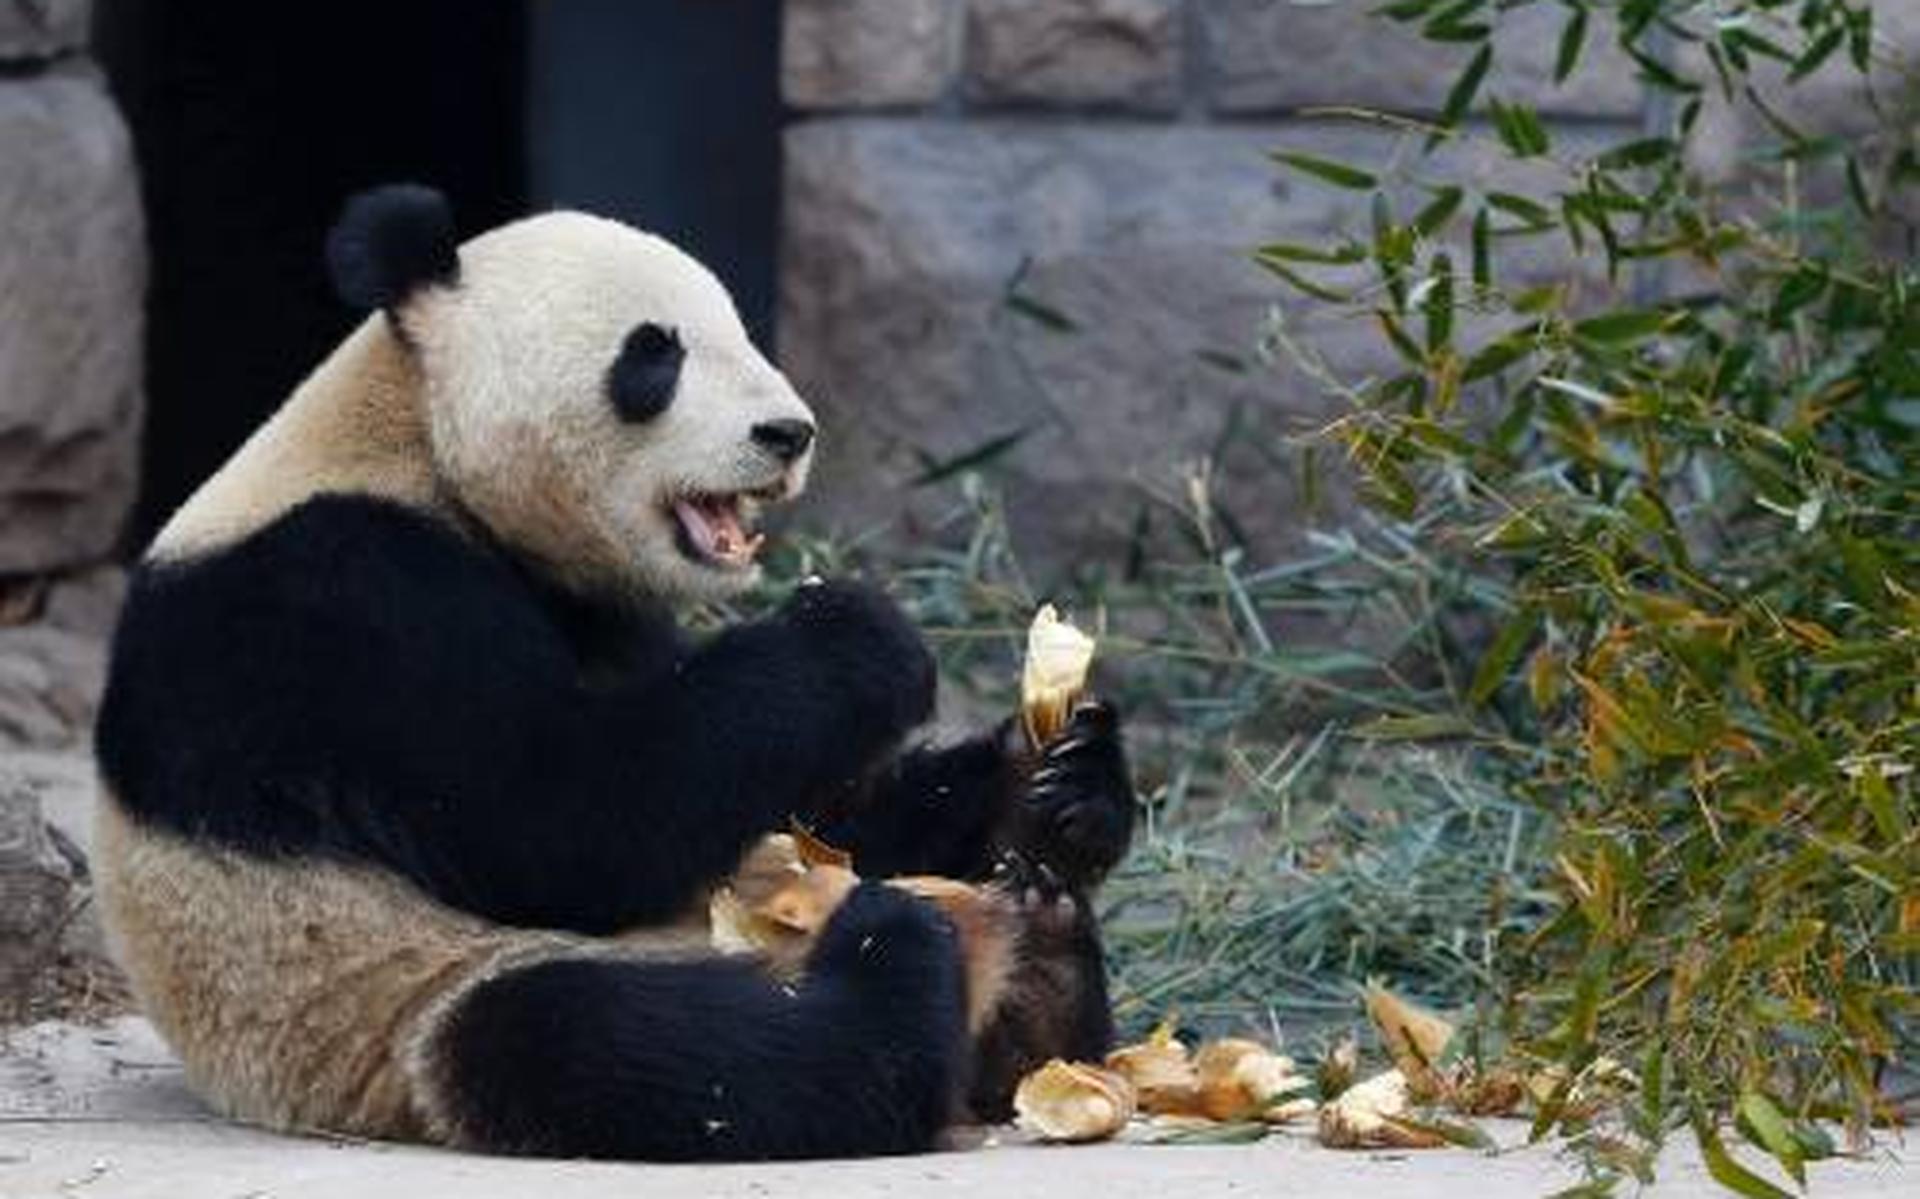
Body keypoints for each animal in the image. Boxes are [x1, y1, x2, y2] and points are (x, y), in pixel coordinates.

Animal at [91, 185, 1135, 1161]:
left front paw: (1055, 782)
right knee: (644, 1044)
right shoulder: (336, 596)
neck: (414, 438)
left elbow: (796, 809)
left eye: (741, 329)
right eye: (654, 355)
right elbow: (568, 820)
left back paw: (1045, 961)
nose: (788, 432)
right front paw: (858, 631)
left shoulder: (608, 610)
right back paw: (901, 958)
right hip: (399, 999)